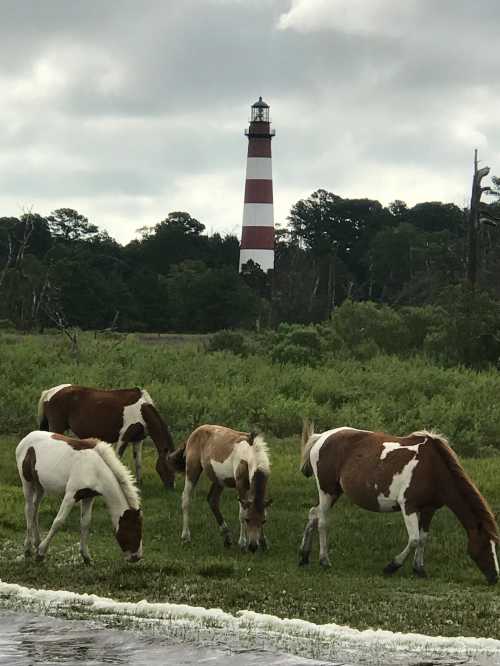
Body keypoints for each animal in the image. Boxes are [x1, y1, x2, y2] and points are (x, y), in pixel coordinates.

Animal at [15, 428, 143, 564]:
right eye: (135, 530)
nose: (137, 557)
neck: (95, 469)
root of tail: (26, 438)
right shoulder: (71, 495)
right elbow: (58, 522)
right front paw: (41, 553)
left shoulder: (88, 497)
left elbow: (85, 523)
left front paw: (86, 556)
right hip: (27, 483)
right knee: (29, 511)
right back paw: (28, 549)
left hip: (40, 486)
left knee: (35, 510)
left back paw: (36, 542)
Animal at [37, 384, 175, 488]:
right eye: (168, 467)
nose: (170, 487)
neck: (142, 411)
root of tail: (50, 392)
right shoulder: (124, 437)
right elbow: (118, 458)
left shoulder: (137, 440)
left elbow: (138, 462)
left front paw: (139, 483)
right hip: (57, 427)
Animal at [298, 420, 498, 580]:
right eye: (485, 545)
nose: (495, 577)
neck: (434, 469)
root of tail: (322, 437)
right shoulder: (409, 506)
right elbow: (414, 539)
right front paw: (392, 566)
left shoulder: (429, 509)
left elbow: (423, 538)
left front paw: (419, 569)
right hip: (327, 490)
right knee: (323, 522)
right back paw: (324, 560)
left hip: (333, 492)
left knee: (313, 514)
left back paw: (304, 556)